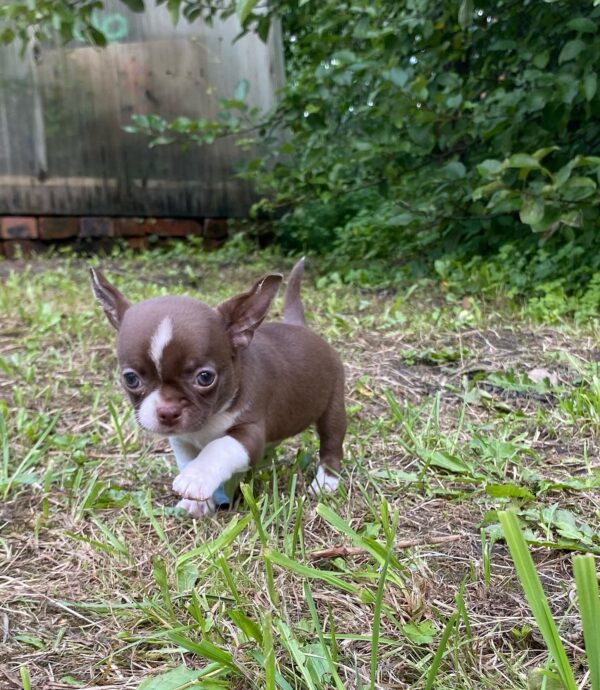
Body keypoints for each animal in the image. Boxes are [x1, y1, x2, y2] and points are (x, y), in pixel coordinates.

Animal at [88, 260, 346, 516]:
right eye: (131, 379)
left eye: (205, 378)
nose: (168, 412)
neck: (209, 420)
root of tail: (299, 325)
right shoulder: (182, 440)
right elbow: (188, 459)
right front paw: (197, 502)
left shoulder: (249, 433)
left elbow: (218, 447)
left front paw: (196, 477)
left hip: (333, 406)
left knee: (332, 442)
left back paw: (326, 481)